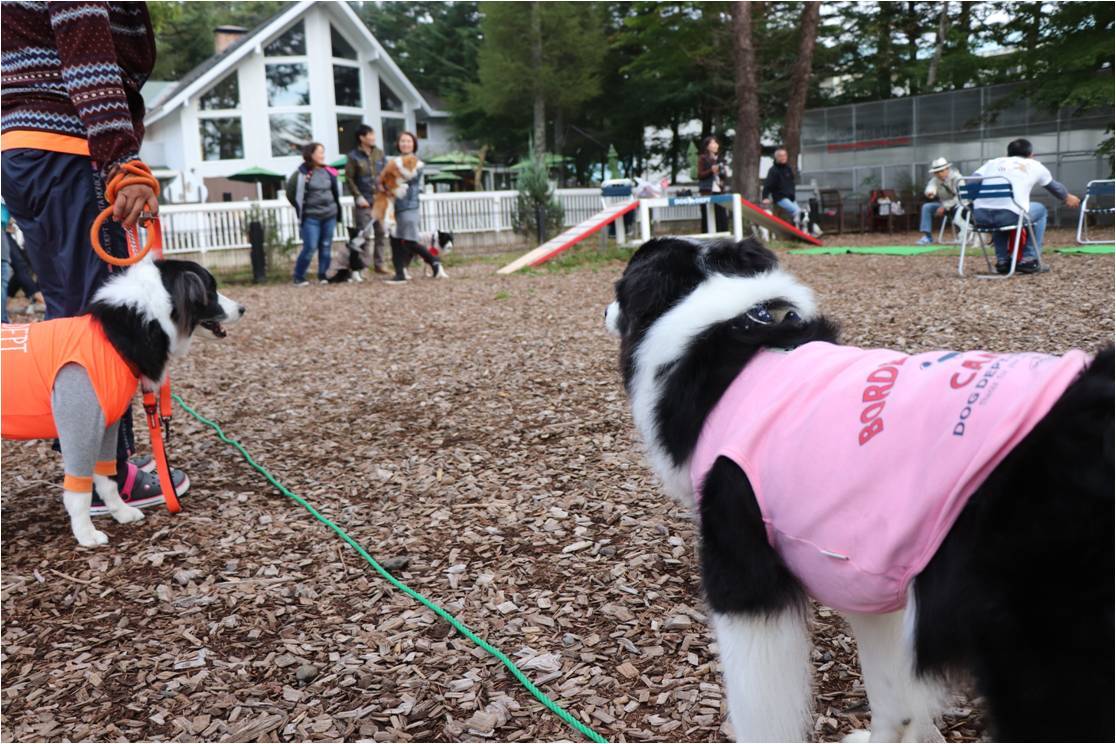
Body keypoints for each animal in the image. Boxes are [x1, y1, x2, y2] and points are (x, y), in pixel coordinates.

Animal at [0, 261, 244, 546]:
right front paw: (85, 533)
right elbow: (79, 491)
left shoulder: (107, 426)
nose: (242, 309)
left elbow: (108, 478)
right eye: (210, 290)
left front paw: (121, 512)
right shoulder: (79, 427)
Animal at [607, 235, 1111, 740]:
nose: (606, 308)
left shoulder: (745, 589)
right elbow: (895, 700)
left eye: (622, 279)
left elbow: (762, 709)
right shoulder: (872, 579)